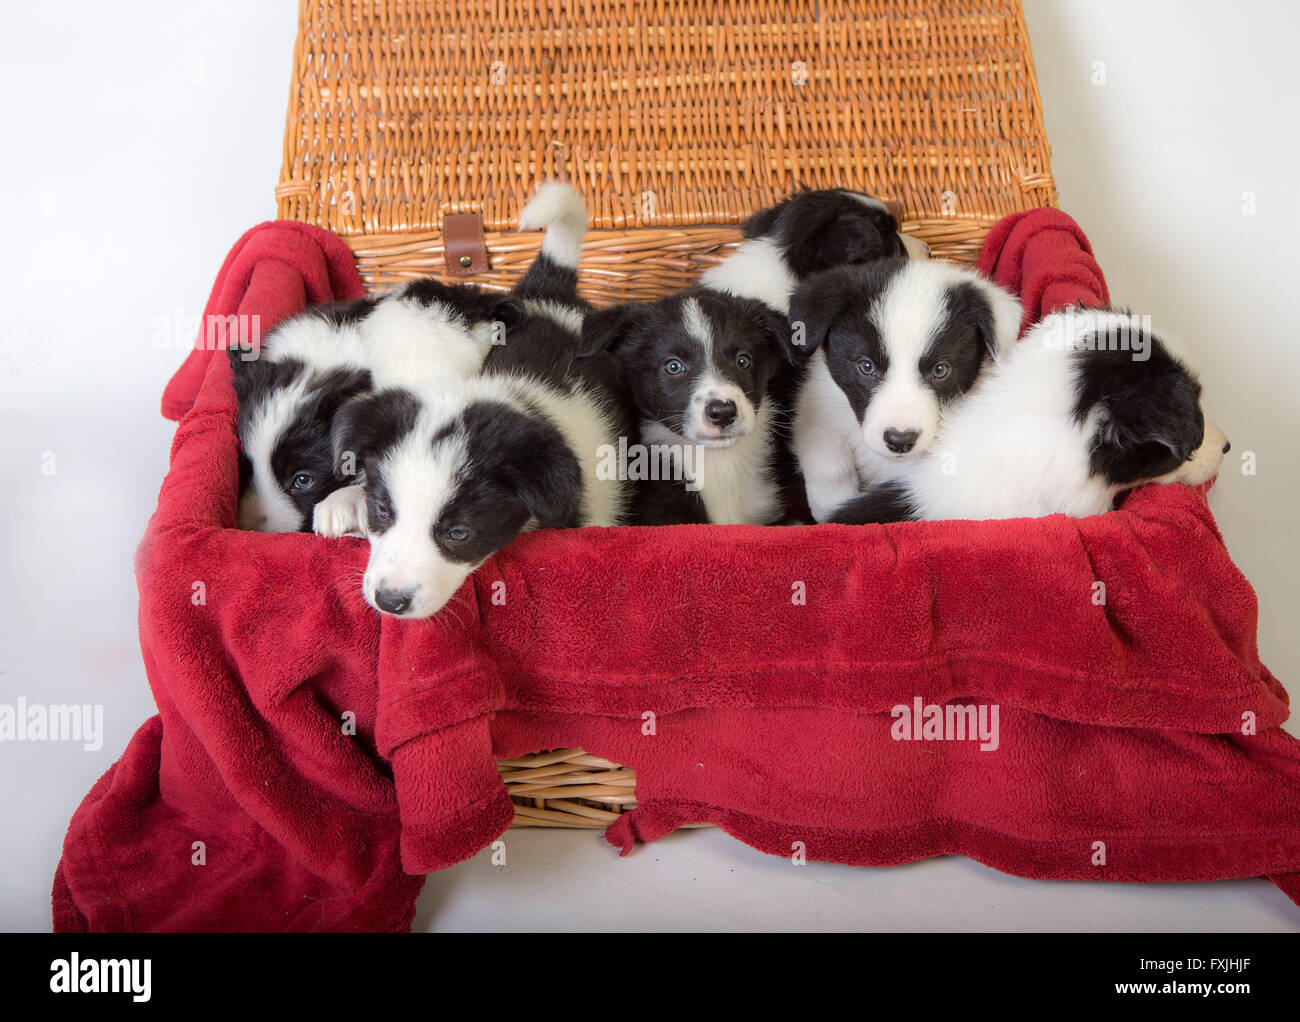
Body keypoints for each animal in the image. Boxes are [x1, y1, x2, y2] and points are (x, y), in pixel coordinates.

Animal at [785, 258, 1019, 522]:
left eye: (940, 370)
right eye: (866, 366)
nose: (900, 440)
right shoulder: (819, 407)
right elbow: (827, 462)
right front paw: (829, 507)